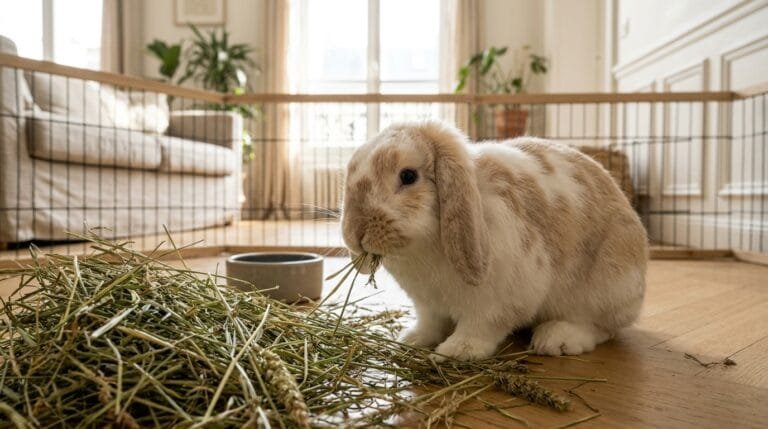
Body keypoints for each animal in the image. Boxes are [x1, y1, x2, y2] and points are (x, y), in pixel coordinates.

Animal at [340, 120, 647, 361]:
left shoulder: (499, 300)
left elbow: (482, 326)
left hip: (608, 288)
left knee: (601, 327)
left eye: (408, 176)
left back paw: (556, 339)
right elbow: (430, 324)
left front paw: (456, 350)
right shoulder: (428, 305)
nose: (355, 232)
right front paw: (413, 339)